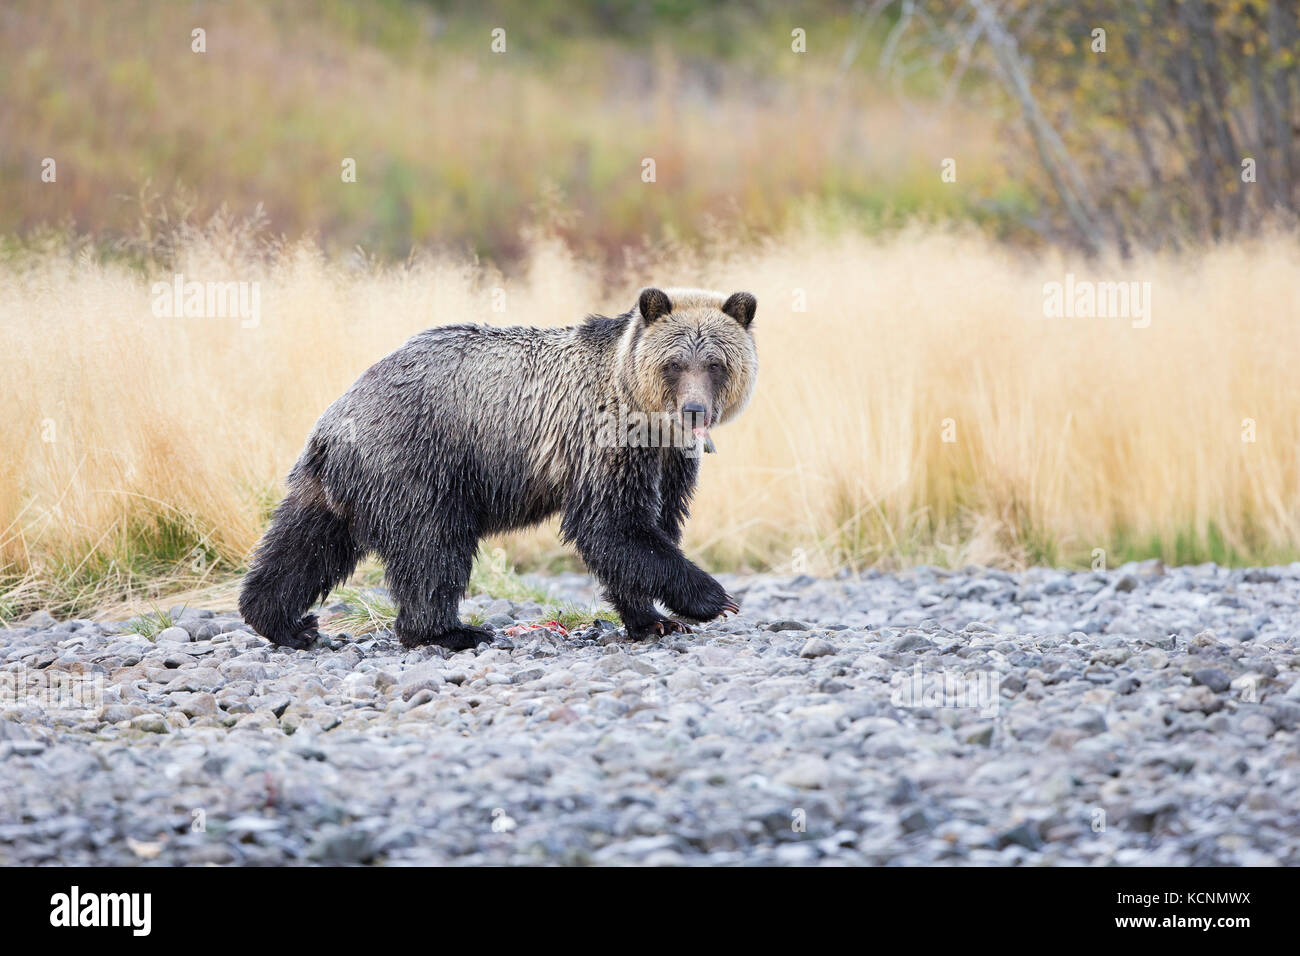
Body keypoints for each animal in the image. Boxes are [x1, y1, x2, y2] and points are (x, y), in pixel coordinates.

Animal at [239, 286, 759, 650]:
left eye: (716, 363)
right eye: (675, 363)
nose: (694, 411)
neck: (650, 420)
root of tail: (334, 421)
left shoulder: (668, 463)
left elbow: (653, 524)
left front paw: (655, 621)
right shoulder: (603, 440)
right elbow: (614, 527)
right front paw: (715, 599)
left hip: (331, 486)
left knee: (303, 546)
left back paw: (285, 622)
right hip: (417, 461)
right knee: (433, 546)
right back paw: (450, 632)